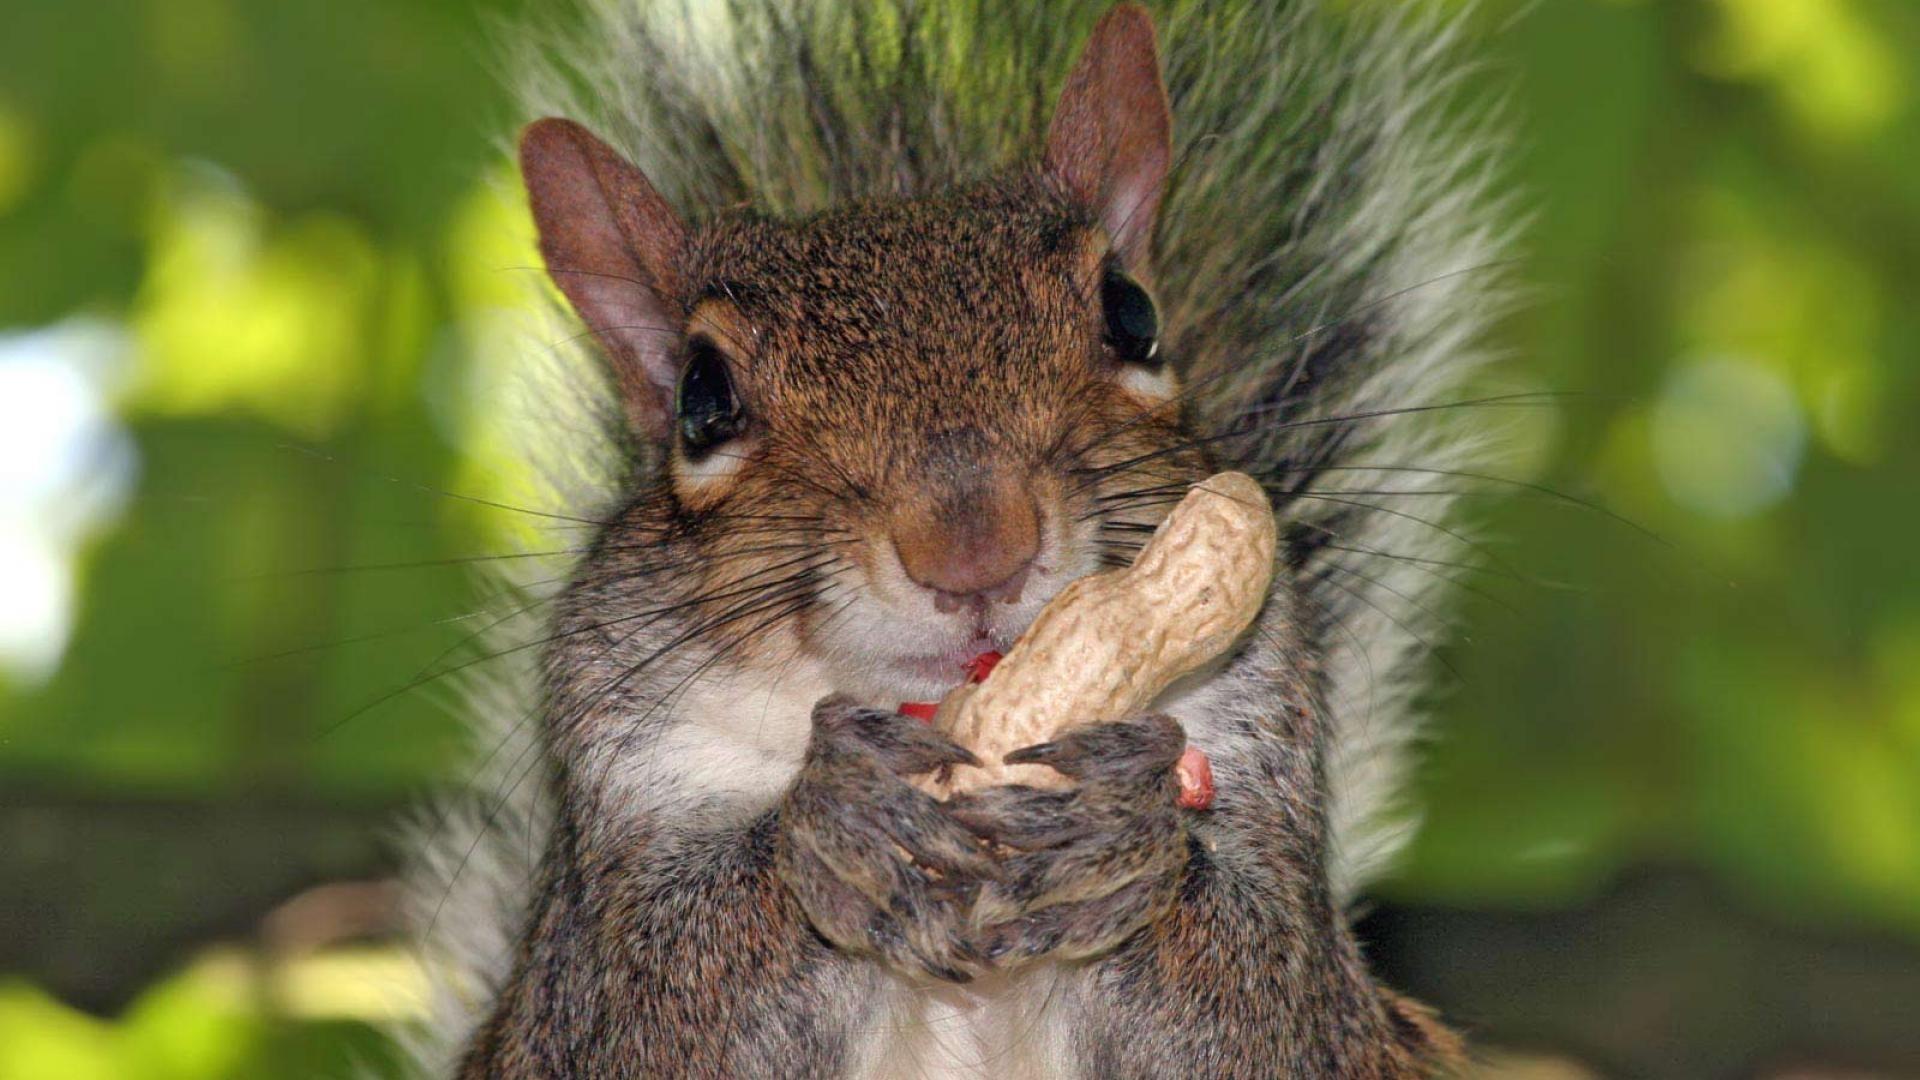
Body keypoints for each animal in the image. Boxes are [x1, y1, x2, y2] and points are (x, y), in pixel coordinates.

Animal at [404, 1, 1510, 1076]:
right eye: (700, 399)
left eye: (1133, 315)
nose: (976, 550)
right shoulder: (612, 826)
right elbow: (650, 1005)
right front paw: (835, 828)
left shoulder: (1263, 760)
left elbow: (1270, 1008)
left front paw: (1120, 830)